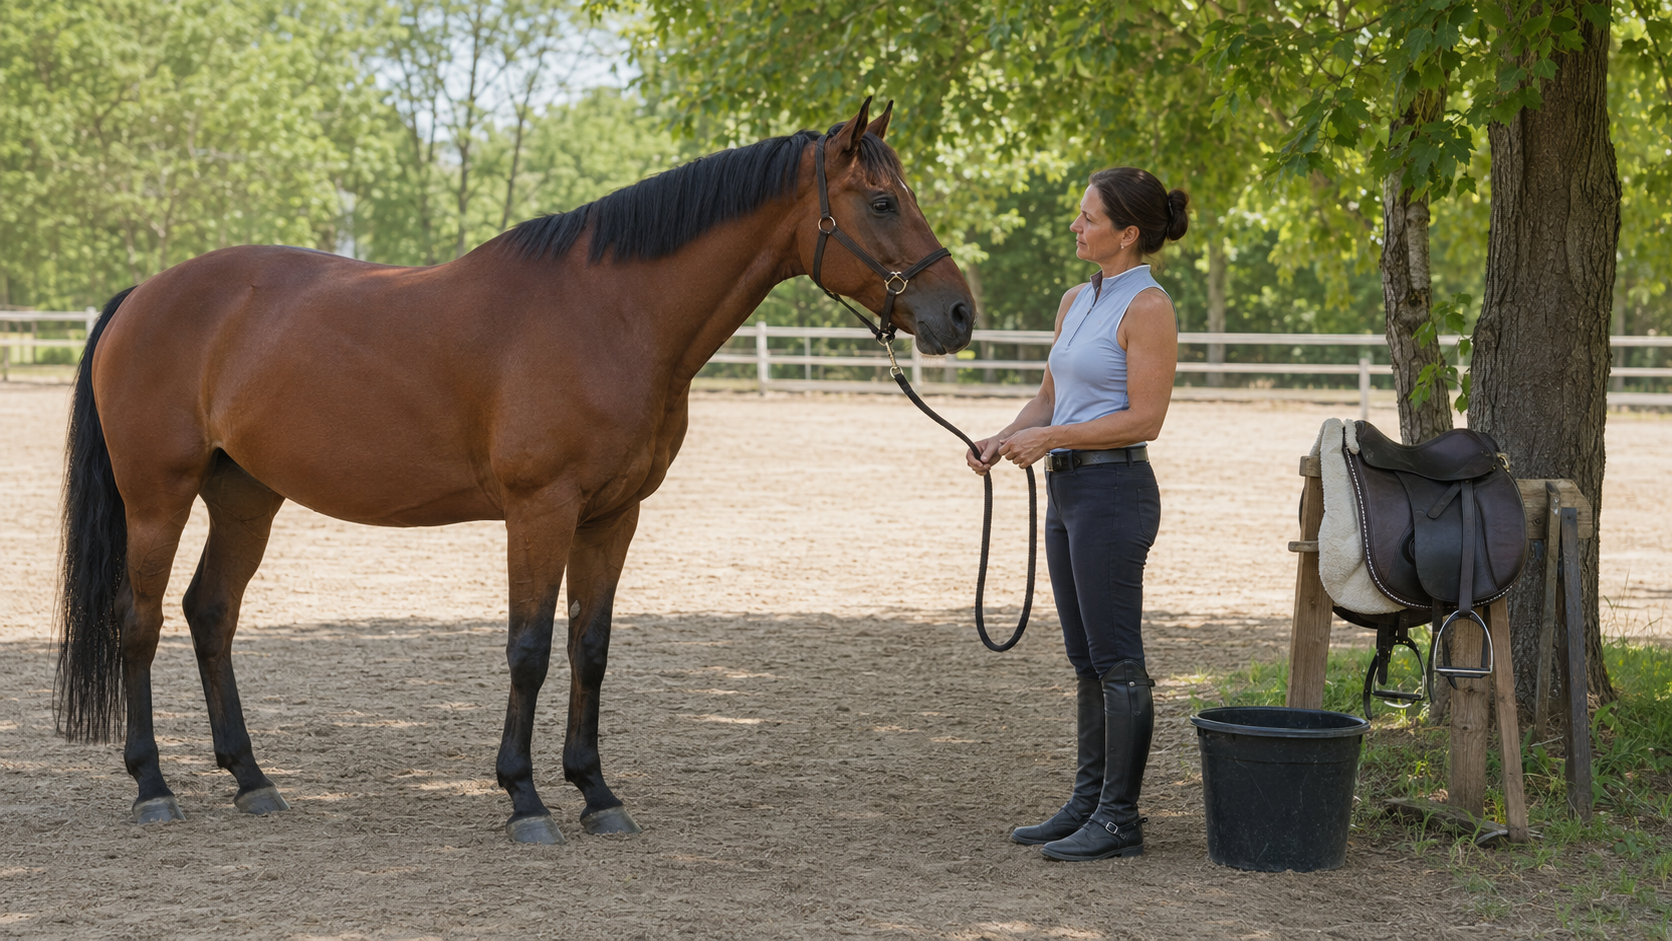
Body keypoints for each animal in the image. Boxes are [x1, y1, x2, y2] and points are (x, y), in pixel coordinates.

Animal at [55, 98, 976, 843]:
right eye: (884, 201)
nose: (960, 313)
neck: (610, 314)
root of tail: (143, 294)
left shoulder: (612, 516)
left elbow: (589, 647)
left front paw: (597, 793)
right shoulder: (542, 510)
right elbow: (528, 647)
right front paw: (525, 799)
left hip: (246, 496)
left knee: (210, 612)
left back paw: (252, 778)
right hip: (158, 496)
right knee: (139, 621)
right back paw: (152, 785)